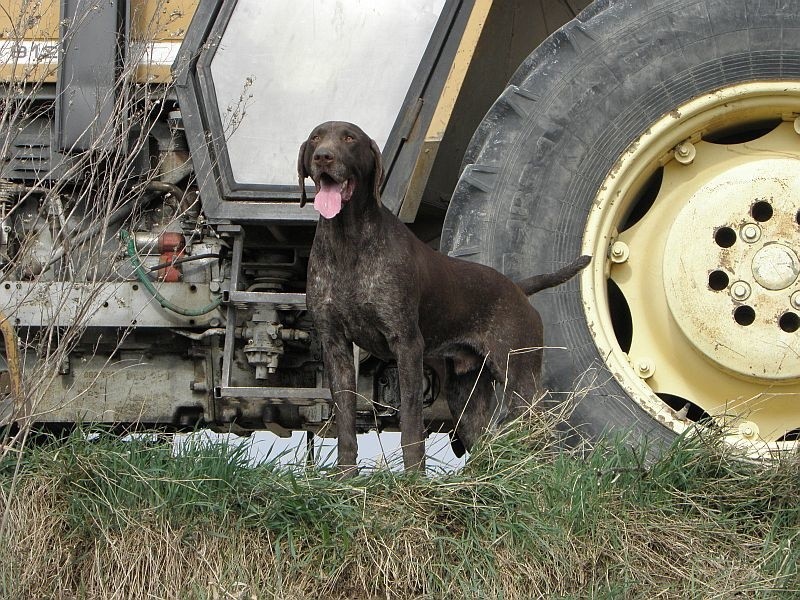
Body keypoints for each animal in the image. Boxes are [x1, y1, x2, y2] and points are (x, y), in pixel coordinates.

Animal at [300, 122, 588, 476]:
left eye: (349, 139)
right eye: (316, 138)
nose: (323, 156)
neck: (347, 240)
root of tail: (518, 288)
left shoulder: (407, 344)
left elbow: (411, 424)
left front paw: (414, 478)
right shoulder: (336, 345)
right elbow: (345, 425)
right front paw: (345, 477)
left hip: (519, 375)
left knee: (544, 429)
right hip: (465, 397)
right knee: (485, 442)